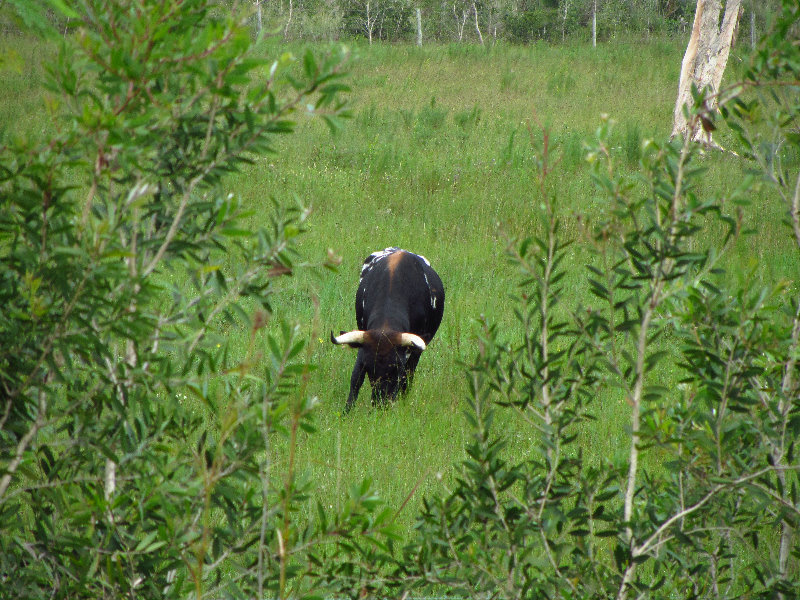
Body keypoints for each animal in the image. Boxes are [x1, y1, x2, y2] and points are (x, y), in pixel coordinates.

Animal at [330, 246, 446, 410]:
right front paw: (347, 410)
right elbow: (355, 378)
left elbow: (405, 379)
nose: (381, 403)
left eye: (396, 368)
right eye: (368, 368)